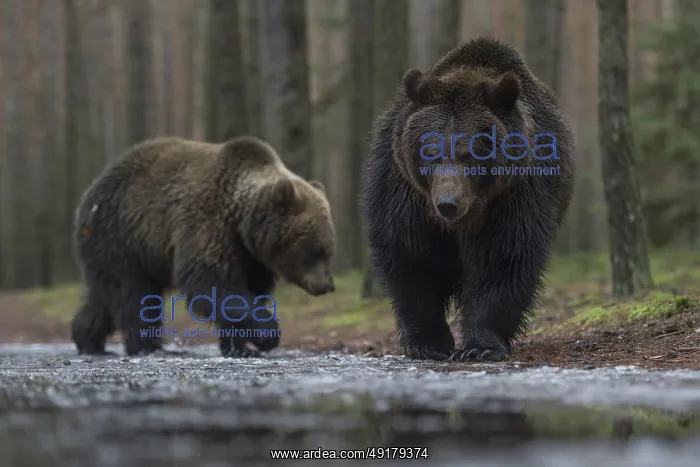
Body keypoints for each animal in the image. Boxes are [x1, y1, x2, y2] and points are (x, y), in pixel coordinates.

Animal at [71, 136, 336, 357]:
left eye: (330, 248)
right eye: (315, 249)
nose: (327, 285)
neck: (241, 223)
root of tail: (88, 194)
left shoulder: (250, 257)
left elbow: (248, 291)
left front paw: (241, 346)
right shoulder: (208, 225)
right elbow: (211, 282)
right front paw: (267, 334)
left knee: (104, 296)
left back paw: (88, 340)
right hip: (123, 237)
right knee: (135, 295)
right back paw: (148, 346)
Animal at [360, 37, 575, 362]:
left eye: (472, 153)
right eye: (430, 152)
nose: (448, 203)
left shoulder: (515, 194)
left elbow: (502, 257)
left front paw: (481, 346)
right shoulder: (404, 194)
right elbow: (412, 256)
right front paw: (429, 343)